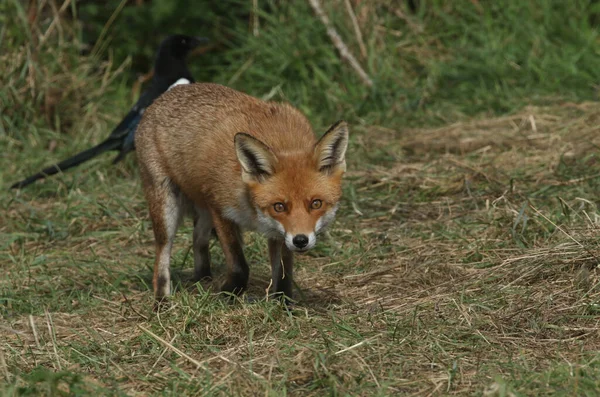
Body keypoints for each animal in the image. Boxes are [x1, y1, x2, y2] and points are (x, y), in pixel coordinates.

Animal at [134, 82, 350, 302]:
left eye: (316, 203)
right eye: (279, 206)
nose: (300, 241)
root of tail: (165, 94)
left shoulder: (279, 232)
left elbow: (283, 272)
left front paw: (283, 302)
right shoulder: (220, 209)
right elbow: (239, 264)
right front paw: (228, 293)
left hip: (203, 210)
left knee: (198, 239)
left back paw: (203, 278)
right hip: (167, 207)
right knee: (162, 259)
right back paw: (162, 301)